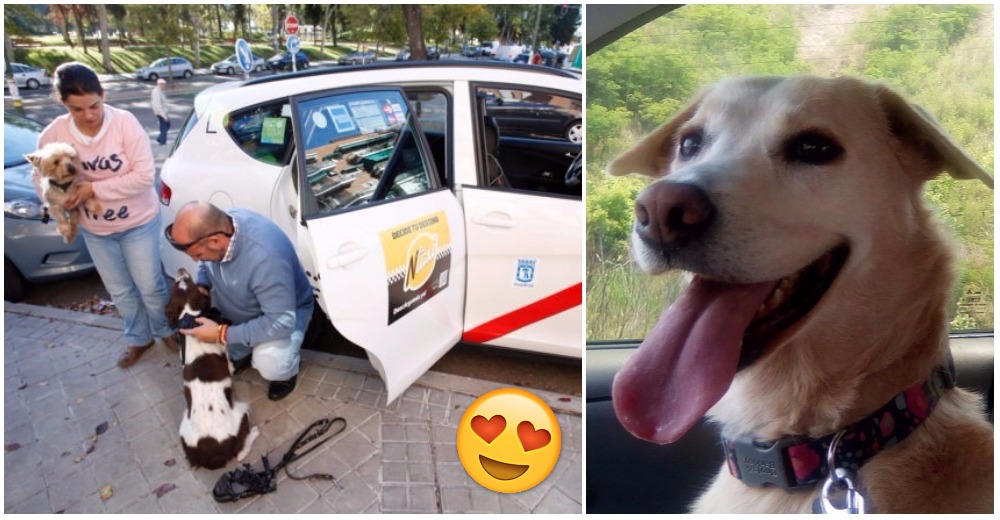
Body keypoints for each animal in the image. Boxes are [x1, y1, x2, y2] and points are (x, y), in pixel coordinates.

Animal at [166, 270, 258, 470]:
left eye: (182, 283)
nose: (181, 270)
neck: (190, 318)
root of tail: (212, 454)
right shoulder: (223, 349)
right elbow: (228, 359)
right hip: (242, 413)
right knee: (240, 452)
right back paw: (254, 432)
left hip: (184, 426)